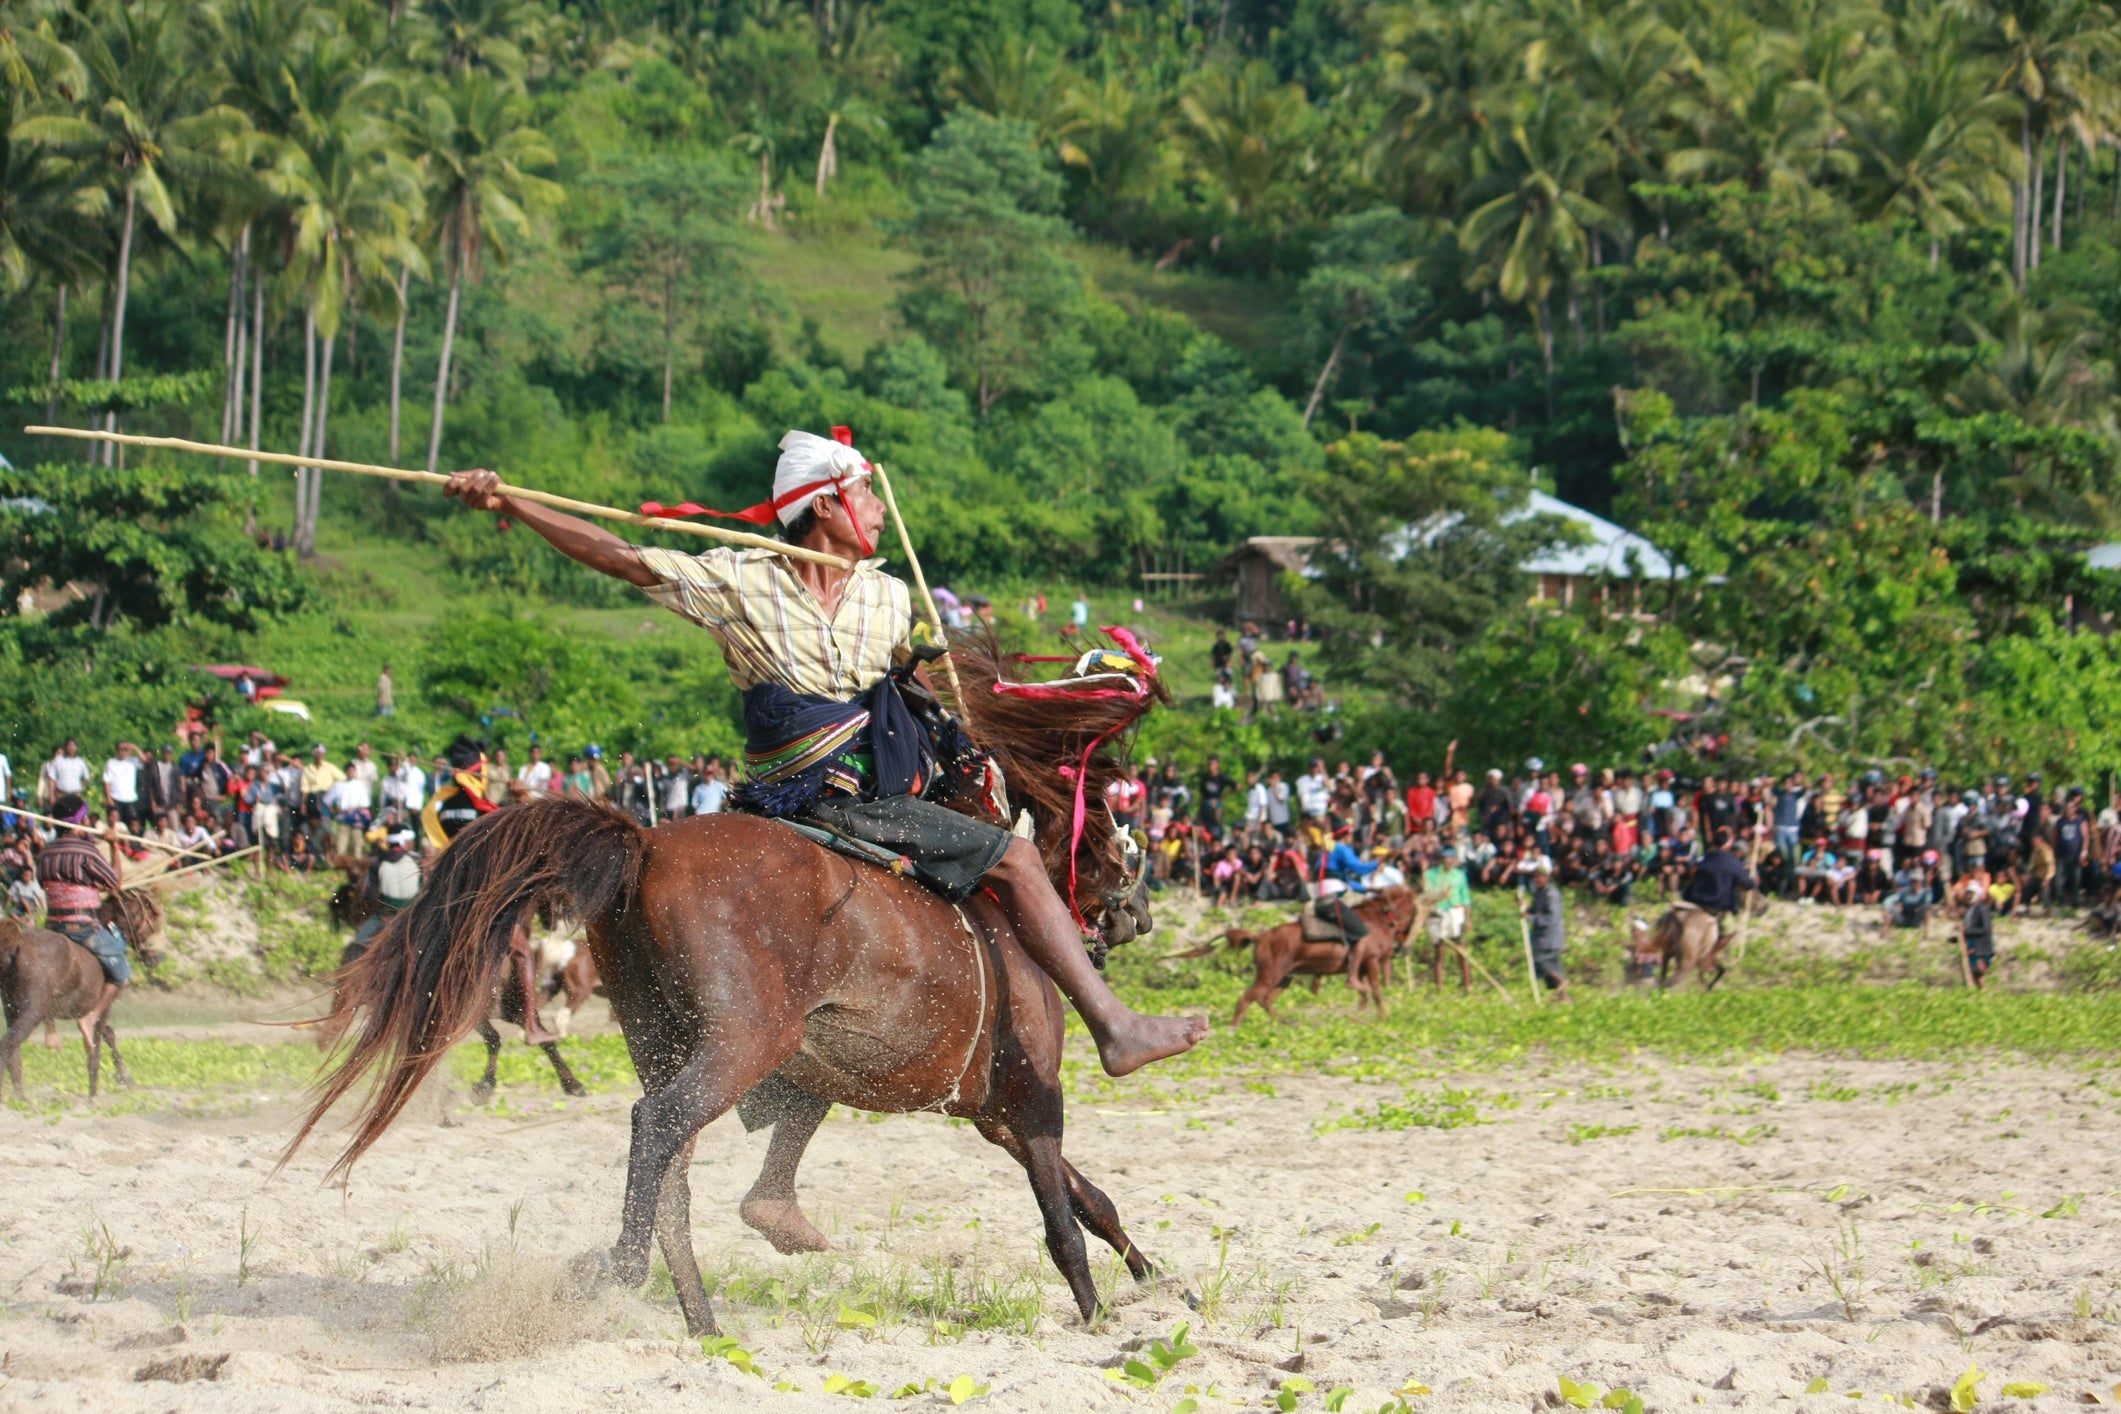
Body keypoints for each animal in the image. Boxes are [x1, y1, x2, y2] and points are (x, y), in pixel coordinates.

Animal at [0, 890, 166, 1102]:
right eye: (152, 917)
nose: (156, 957)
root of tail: (17, 943)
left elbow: (108, 1034)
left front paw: (123, 1075)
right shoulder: (103, 1007)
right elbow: (96, 1045)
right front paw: (93, 1093)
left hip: (12, 1008)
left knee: (14, 1054)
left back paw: (21, 1097)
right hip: (32, 1011)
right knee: (8, 1044)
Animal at [282, 635, 1170, 1331]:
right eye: (1112, 815)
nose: (1138, 909)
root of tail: (643, 844)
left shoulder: (993, 1114)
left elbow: (1091, 1199)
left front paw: (1157, 1280)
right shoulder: (1031, 1095)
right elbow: (1061, 1215)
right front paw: (1095, 1312)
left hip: (674, 1037)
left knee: (667, 1155)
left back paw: (701, 1310)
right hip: (747, 1040)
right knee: (653, 1125)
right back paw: (625, 1265)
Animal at [1204, 890, 1416, 1021]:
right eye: (1413, 911)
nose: (1405, 946)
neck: (1376, 921)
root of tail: (1261, 936)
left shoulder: (1363, 966)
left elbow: (1364, 994)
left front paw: (1360, 1015)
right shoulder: (1370, 961)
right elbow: (1375, 991)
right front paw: (1383, 1016)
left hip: (1284, 977)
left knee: (1265, 1000)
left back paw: (1284, 1022)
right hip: (1269, 974)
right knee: (1247, 998)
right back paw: (1235, 1027)